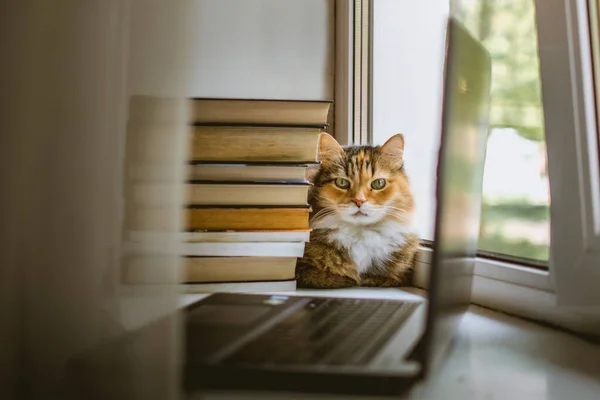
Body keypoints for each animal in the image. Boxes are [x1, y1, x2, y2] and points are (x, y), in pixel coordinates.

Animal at [296, 134, 420, 288]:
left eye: (379, 183)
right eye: (342, 183)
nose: (359, 201)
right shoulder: (304, 271)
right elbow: (335, 278)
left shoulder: (399, 276)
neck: (361, 233)